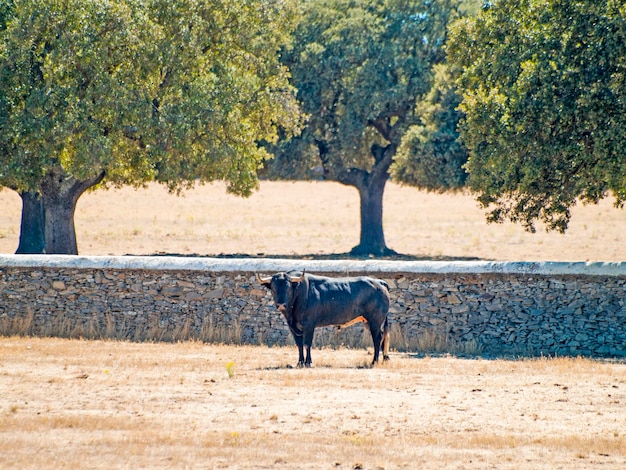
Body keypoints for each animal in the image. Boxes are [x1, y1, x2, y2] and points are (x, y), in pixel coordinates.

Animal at [256, 272, 388, 368]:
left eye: (288, 289)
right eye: (273, 288)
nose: (281, 305)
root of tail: (379, 282)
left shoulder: (309, 325)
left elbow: (307, 343)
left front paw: (308, 362)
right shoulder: (293, 326)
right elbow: (299, 344)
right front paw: (300, 363)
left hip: (375, 321)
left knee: (377, 339)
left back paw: (374, 362)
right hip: (368, 322)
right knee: (382, 338)